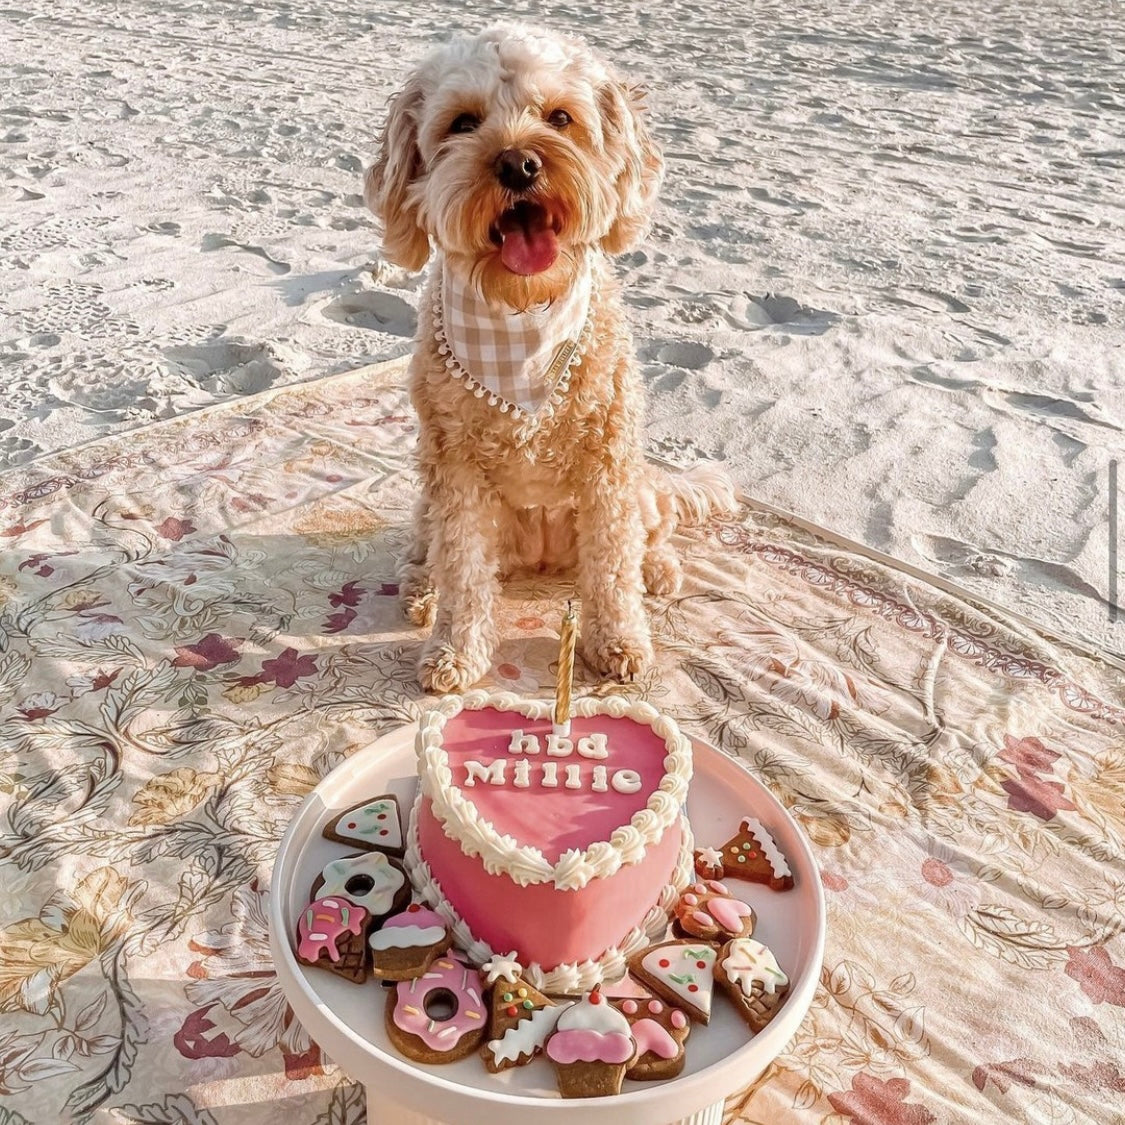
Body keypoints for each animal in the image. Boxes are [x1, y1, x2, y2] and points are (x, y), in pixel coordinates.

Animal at [364, 24, 738, 693]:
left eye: (560, 118)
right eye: (463, 122)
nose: (519, 163)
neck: (521, 322)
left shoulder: (609, 464)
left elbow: (612, 567)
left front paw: (617, 642)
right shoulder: (454, 471)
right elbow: (463, 567)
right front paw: (455, 650)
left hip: (640, 486)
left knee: (647, 536)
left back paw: (657, 569)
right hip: (432, 499)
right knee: (428, 546)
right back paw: (420, 588)